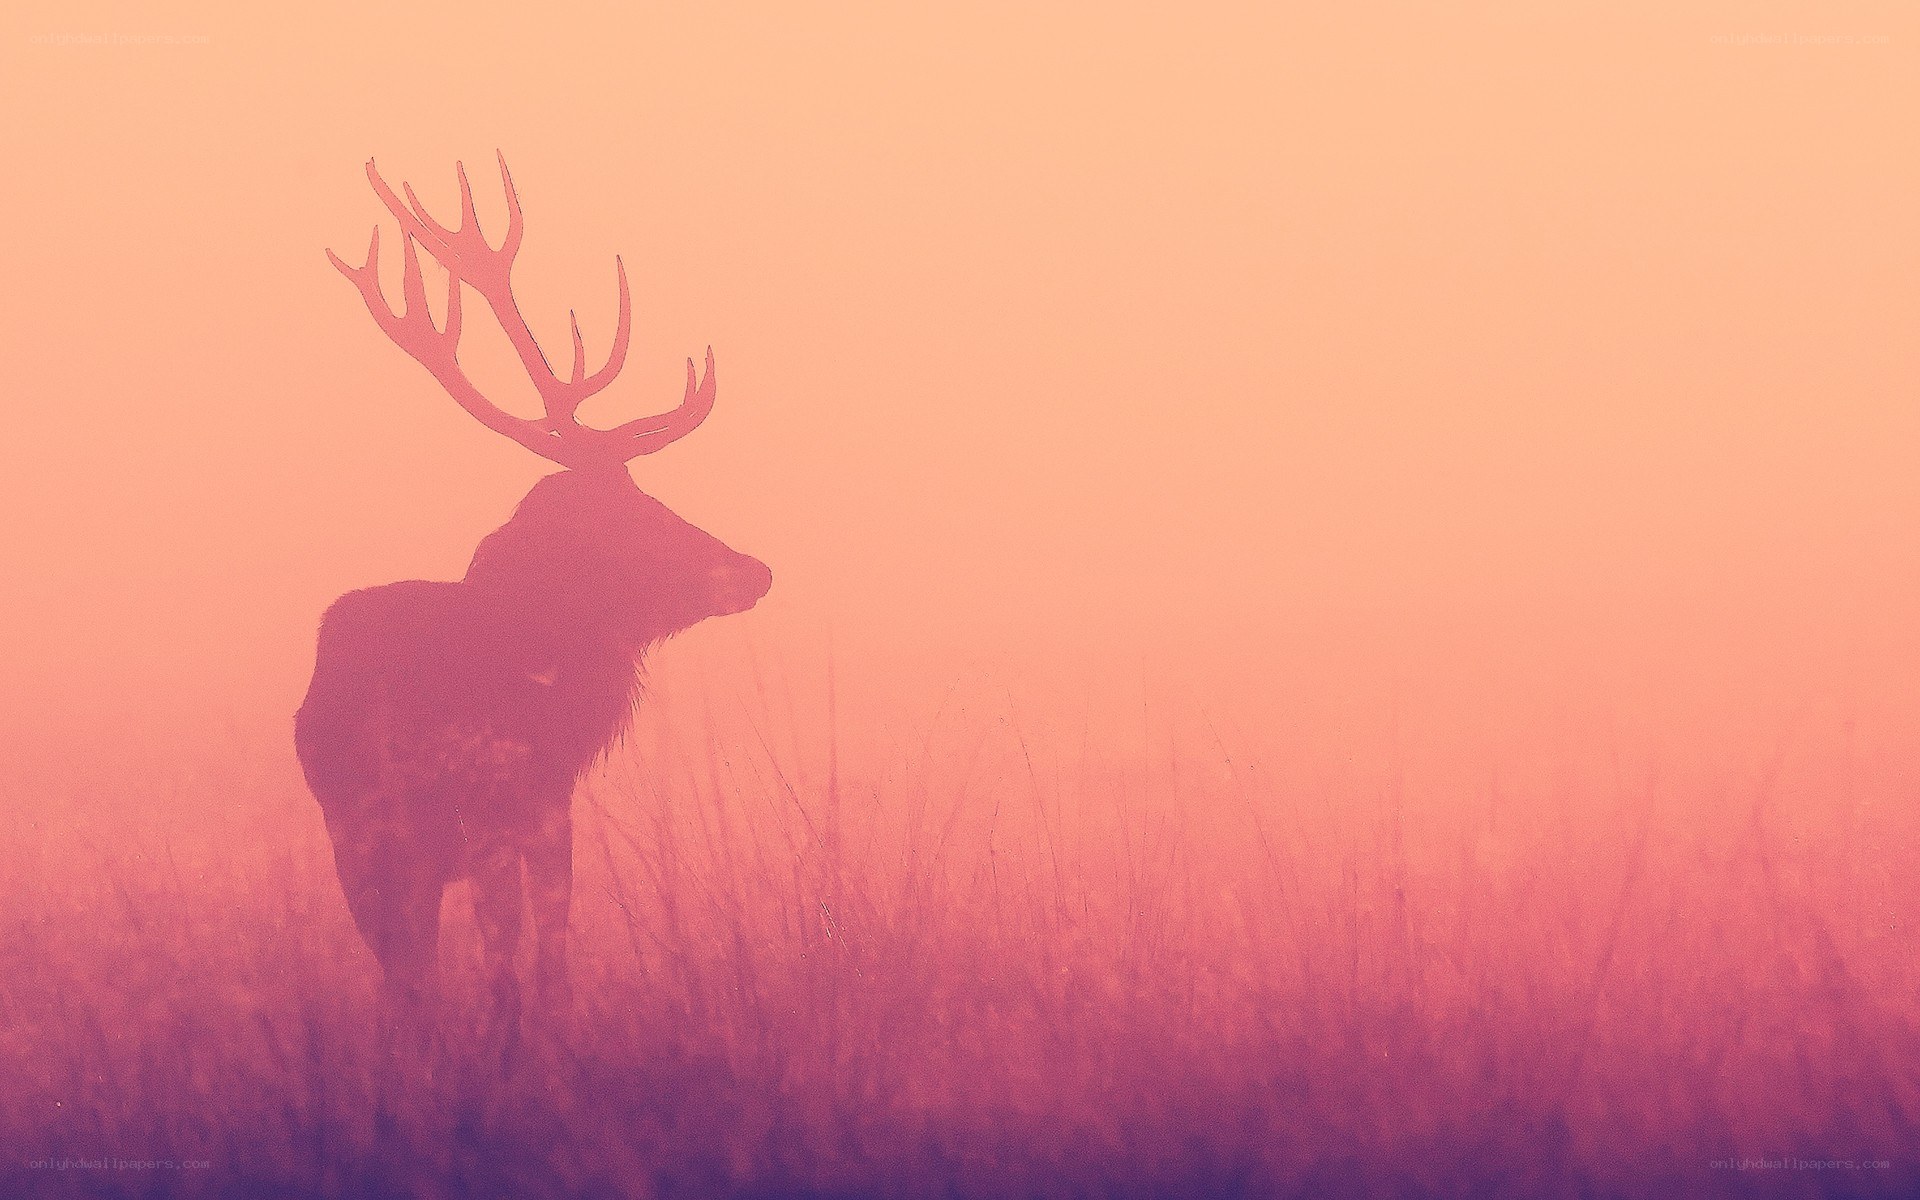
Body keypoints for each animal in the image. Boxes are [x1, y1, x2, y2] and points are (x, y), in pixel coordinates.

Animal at [295, 155, 770, 1068]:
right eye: (636, 513)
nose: (755, 570)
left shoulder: (531, 813)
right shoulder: (526, 804)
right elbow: (532, 967)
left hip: (385, 843)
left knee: (411, 978)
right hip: (421, 824)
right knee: (451, 970)